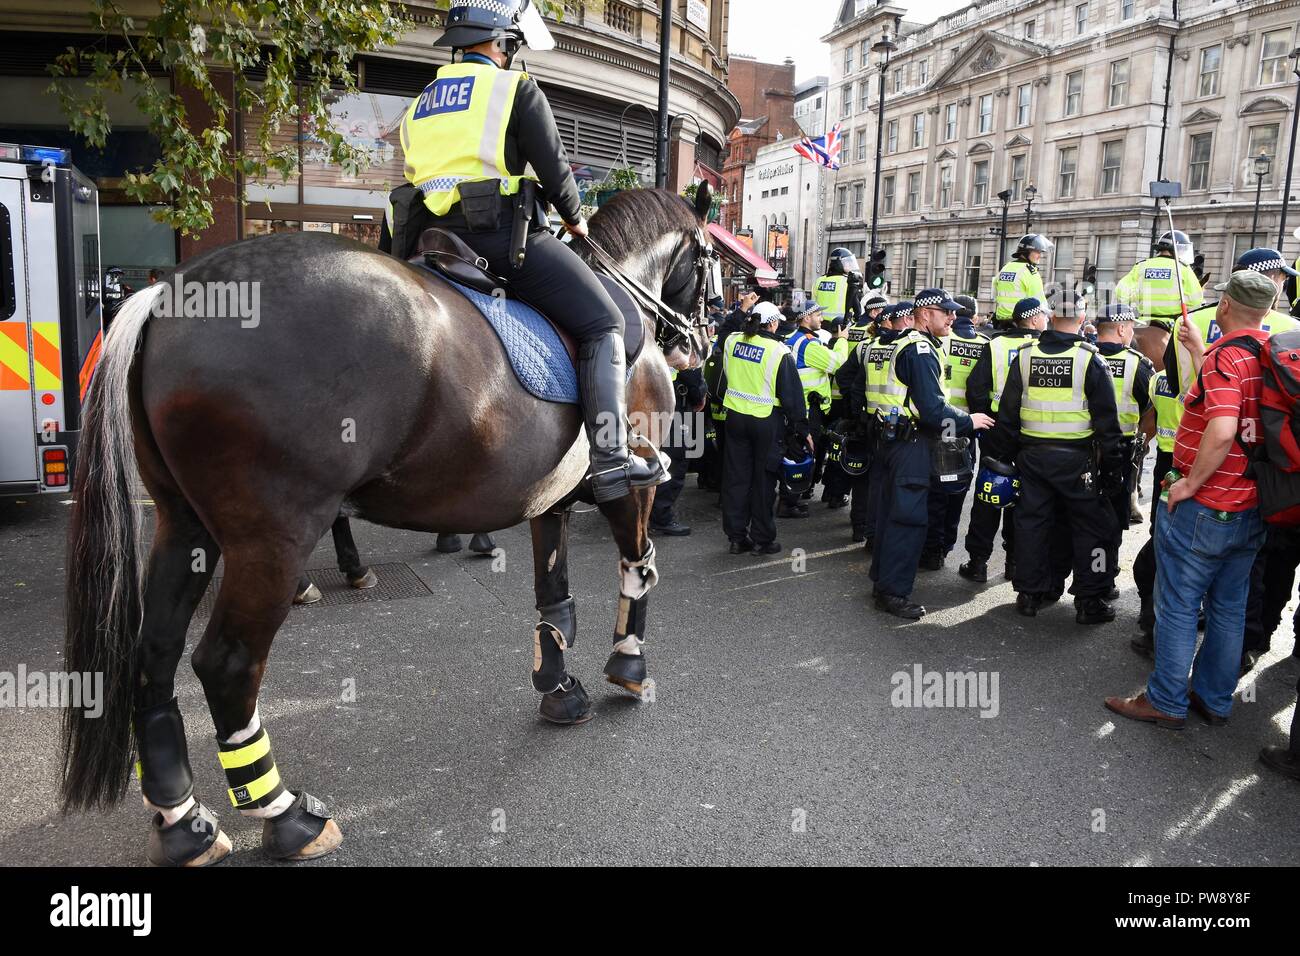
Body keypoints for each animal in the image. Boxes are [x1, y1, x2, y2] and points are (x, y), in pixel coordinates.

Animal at [61, 183, 717, 863]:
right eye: (711, 260)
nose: (702, 339)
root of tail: (169, 296)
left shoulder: (551, 499)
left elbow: (554, 600)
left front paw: (560, 687)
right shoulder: (631, 491)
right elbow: (637, 567)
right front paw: (629, 663)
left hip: (184, 525)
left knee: (154, 653)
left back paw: (181, 819)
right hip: (272, 538)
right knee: (227, 664)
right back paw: (285, 814)